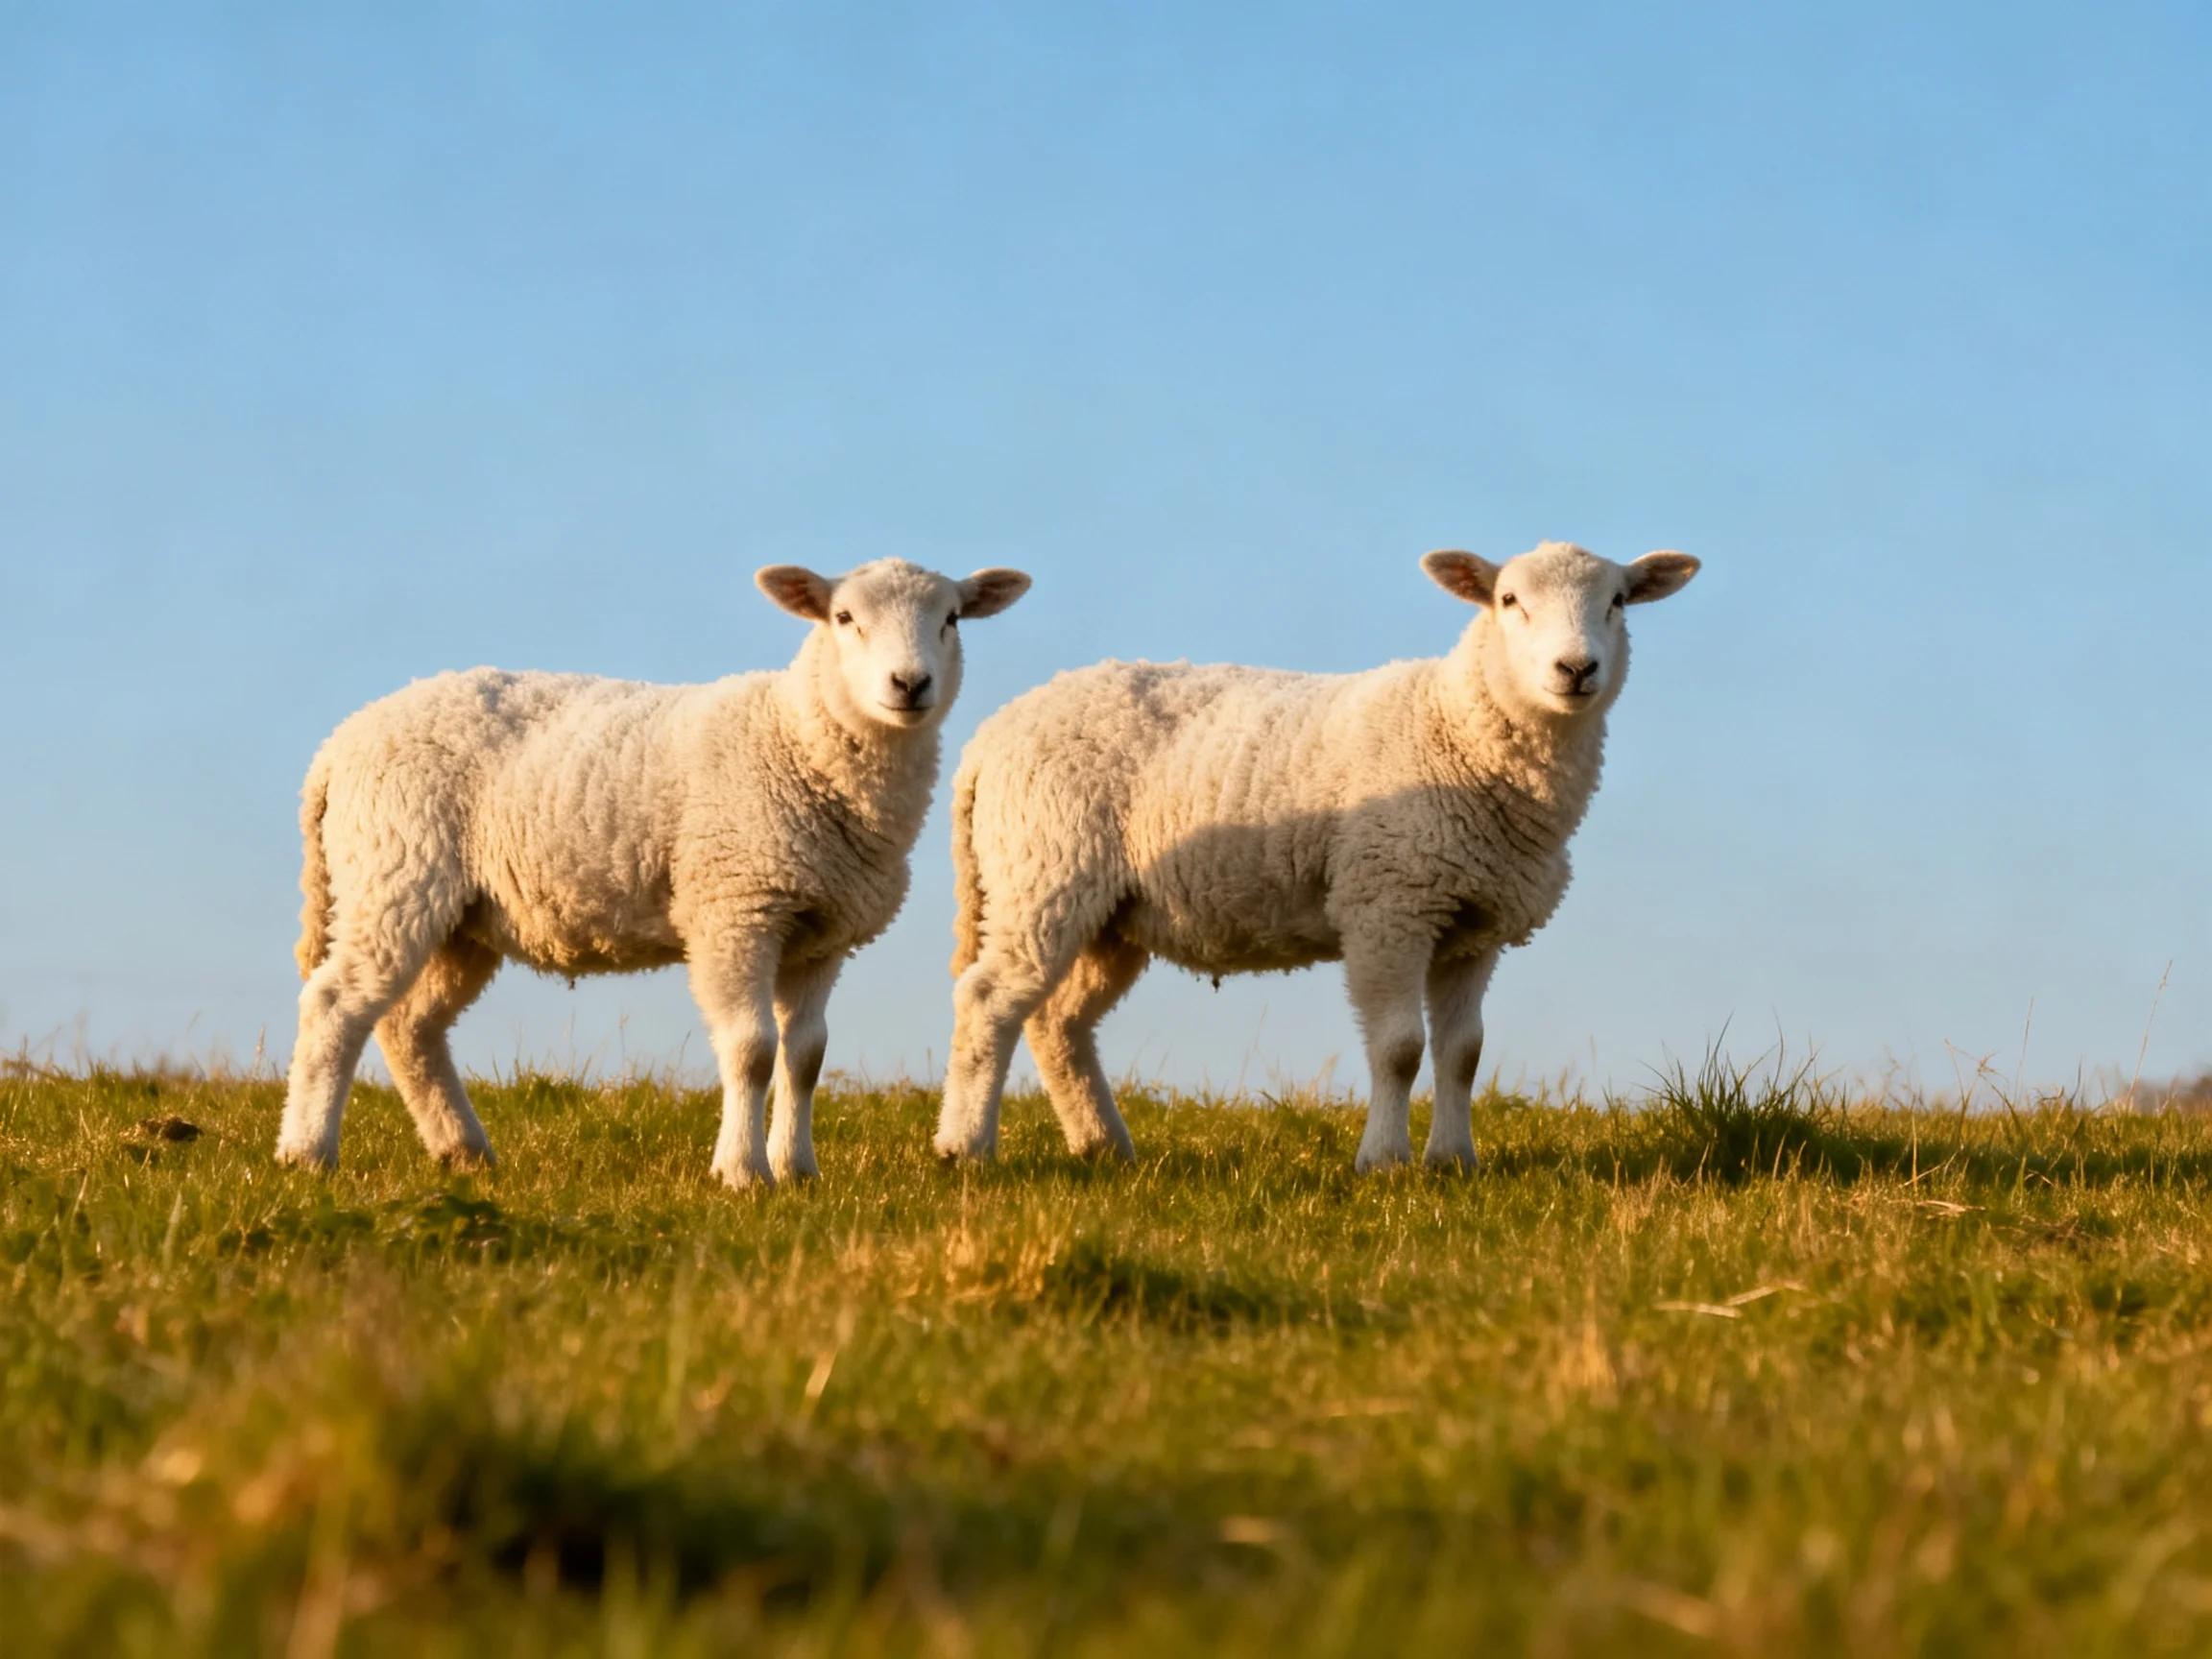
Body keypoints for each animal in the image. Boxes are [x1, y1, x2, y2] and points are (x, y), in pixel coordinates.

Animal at [276, 558, 1031, 1188]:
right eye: (844, 618)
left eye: (952, 618)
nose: (910, 684)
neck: (798, 738)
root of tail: (337, 744)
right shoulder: (734, 906)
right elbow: (753, 1049)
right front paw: (742, 1174)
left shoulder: (822, 931)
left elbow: (806, 1056)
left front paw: (798, 1171)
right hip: (395, 869)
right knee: (335, 1005)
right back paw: (307, 1152)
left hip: (461, 918)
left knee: (410, 1027)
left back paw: (462, 1150)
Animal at [932, 540, 1698, 1172]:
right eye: (1510, 600)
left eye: (1618, 601)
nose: (1576, 668)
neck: (1455, 726)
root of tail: (991, 736)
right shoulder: (1388, 903)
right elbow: (1399, 1048)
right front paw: (1384, 1163)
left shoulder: (1472, 921)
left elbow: (1463, 1053)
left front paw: (1454, 1163)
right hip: (1045, 865)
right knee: (989, 1000)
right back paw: (965, 1147)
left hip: (1110, 912)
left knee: (1056, 1021)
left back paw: (1104, 1147)